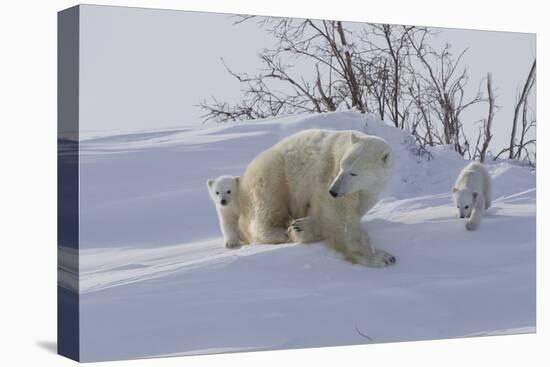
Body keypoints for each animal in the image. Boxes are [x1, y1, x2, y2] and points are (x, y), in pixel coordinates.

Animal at [238, 129, 396, 268]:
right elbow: (338, 214)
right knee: (268, 206)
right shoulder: (330, 174)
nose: (333, 191)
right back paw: (279, 232)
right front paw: (382, 257)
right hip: (275, 172)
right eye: (342, 167)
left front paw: (301, 227)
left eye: (354, 173)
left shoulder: (368, 191)